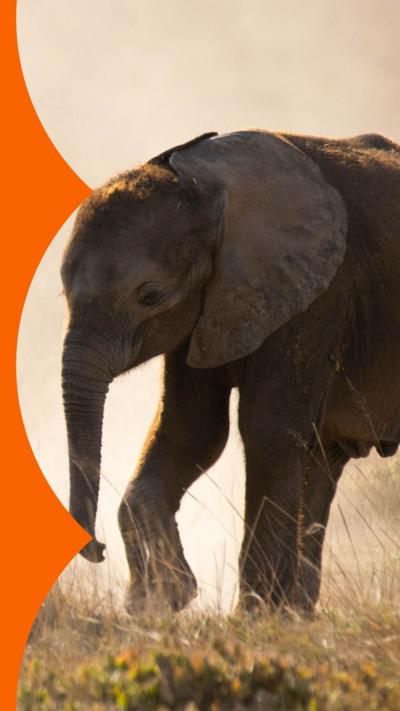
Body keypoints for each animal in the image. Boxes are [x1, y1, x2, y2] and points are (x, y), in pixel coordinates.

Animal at [61, 129, 400, 615]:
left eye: (149, 295)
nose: (97, 549)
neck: (207, 188)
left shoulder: (315, 298)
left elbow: (266, 433)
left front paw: (251, 618)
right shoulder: (204, 312)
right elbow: (191, 431)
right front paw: (160, 598)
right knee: (322, 463)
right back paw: (297, 615)